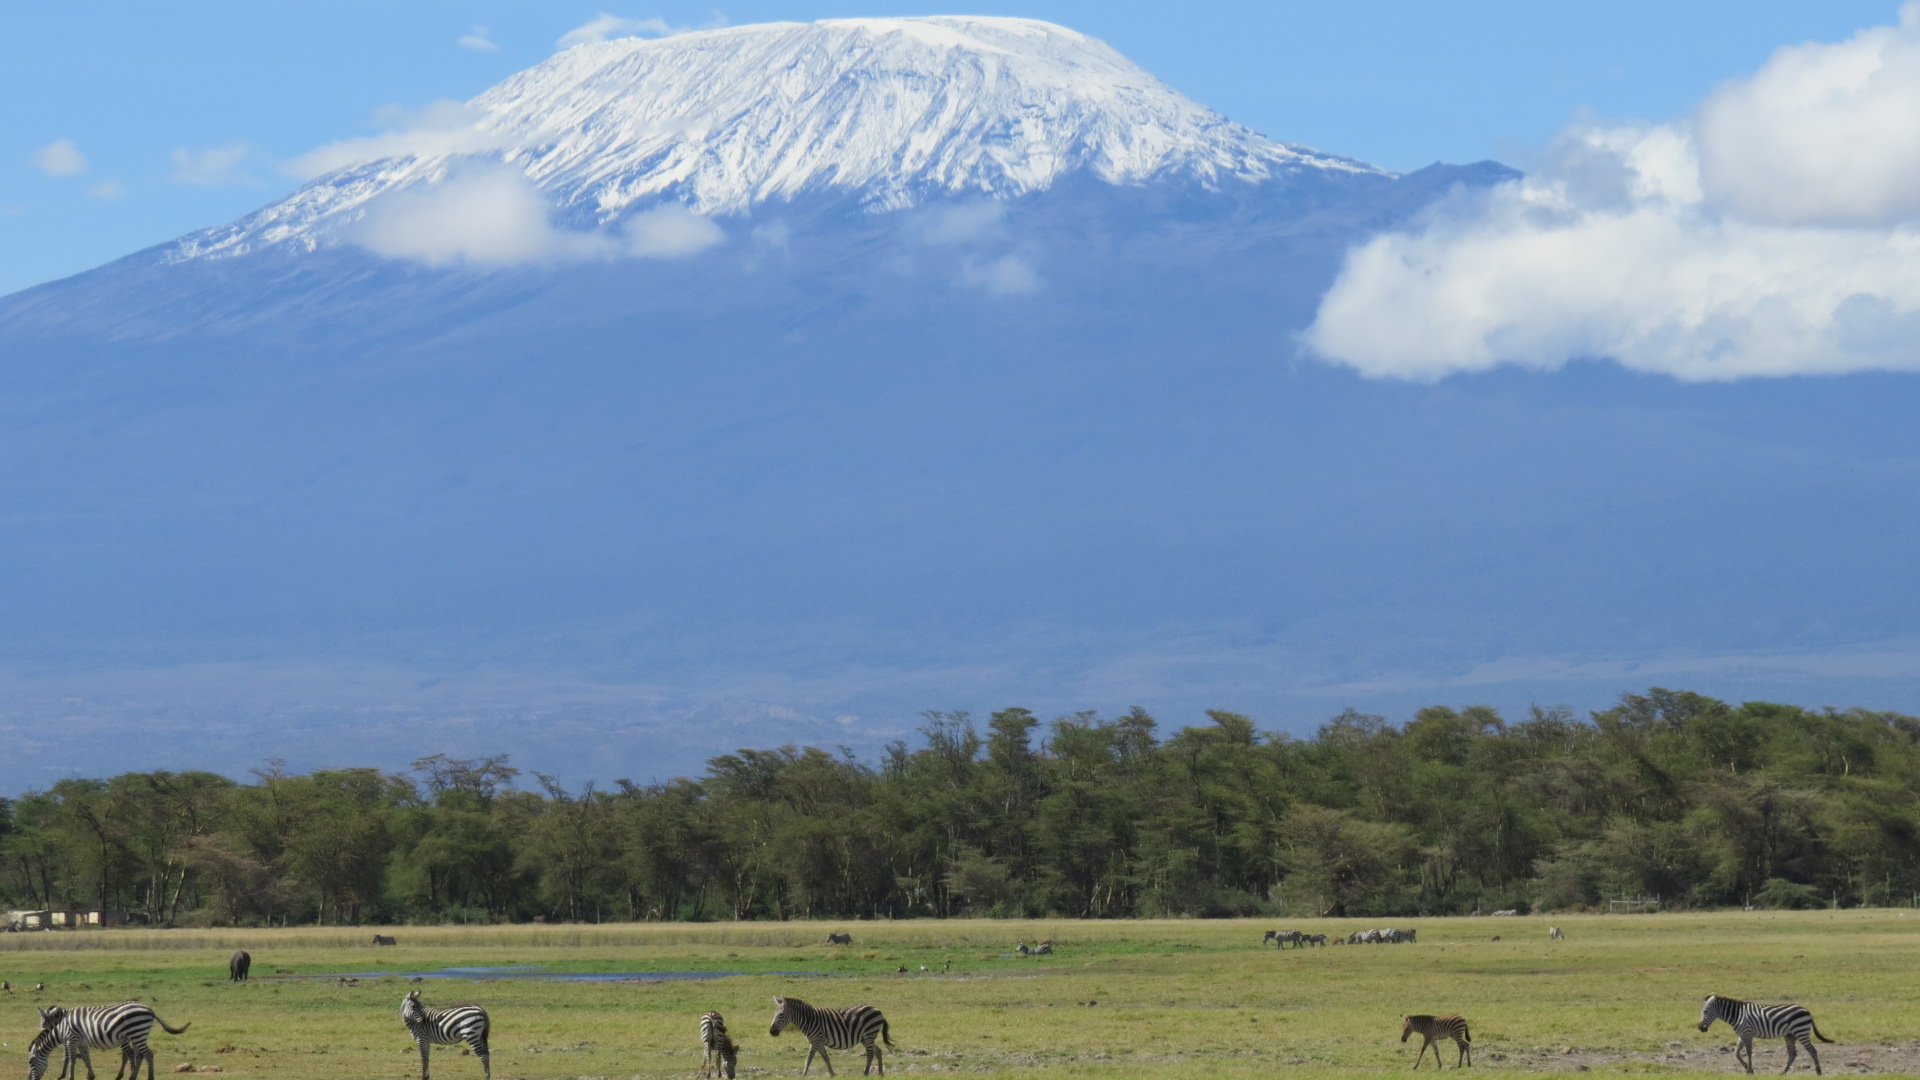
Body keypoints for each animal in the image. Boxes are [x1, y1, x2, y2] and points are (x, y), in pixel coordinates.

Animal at [28, 999, 191, 1076]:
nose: (42, 1030)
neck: (64, 1022)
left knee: (146, 1055)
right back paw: (131, 1075)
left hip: (135, 1034)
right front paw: (89, 1075)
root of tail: (149, 1009)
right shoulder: (79, 1041)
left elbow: (69, 1058)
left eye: (30, 1062)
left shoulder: (71, 1038)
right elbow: (85, 1058)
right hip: (136, 1035)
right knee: (137, 1055)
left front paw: (64, 1075)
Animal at [1704, 991, 1835, 1068]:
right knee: (1793, 1054)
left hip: (1801, 1031)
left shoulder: (1748, 1032)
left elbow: (1748, 1052)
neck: (1738, 1014)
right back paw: (1782, 1073)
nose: (1701, 1028)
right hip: (1790, 1034)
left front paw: (1750, 1070)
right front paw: (1746, 1067)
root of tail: (1807, 1011)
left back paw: (1818, 1072)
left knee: (1812, 1051)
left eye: (1704, 1011)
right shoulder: (1742, 1034)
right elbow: (1736, 1052)